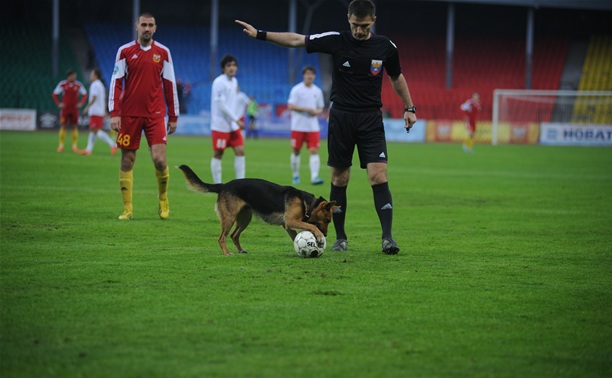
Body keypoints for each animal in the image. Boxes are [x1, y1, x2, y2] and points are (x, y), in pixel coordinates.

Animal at [177, 165, 340, 255]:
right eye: (327, 220)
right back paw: (227, 253)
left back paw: (240, 250)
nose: (326, 235)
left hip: (244, 219)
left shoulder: (288, 225)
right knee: (222, 238)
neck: (307, 203)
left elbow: (296, 237)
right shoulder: (291, 221)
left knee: (234, 235)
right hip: (229, 218)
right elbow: (312, 226)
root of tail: (223, 185)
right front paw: (319, 238)